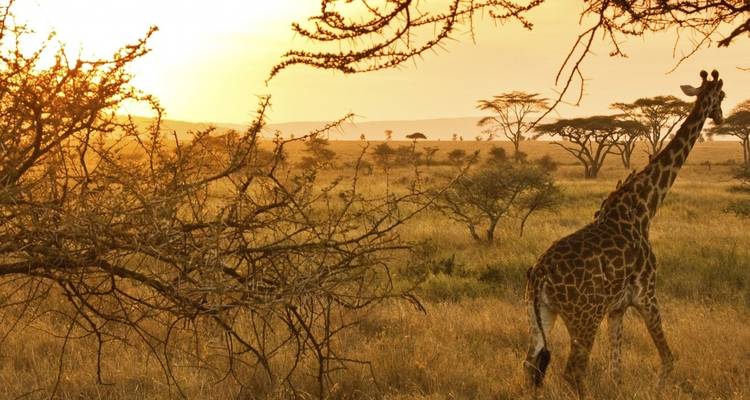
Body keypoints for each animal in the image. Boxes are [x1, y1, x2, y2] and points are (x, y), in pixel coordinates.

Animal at [522, 70, 725, 396]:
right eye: (722, 96)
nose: (719, 117)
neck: (644, 208)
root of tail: (539, 273)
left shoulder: (616, 309)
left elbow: (615, 368)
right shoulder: (647, 294)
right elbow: (668, 358)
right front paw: (658, 392)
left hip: (539, 311)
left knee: (530, 364)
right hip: (583, 317)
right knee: (573, 369)